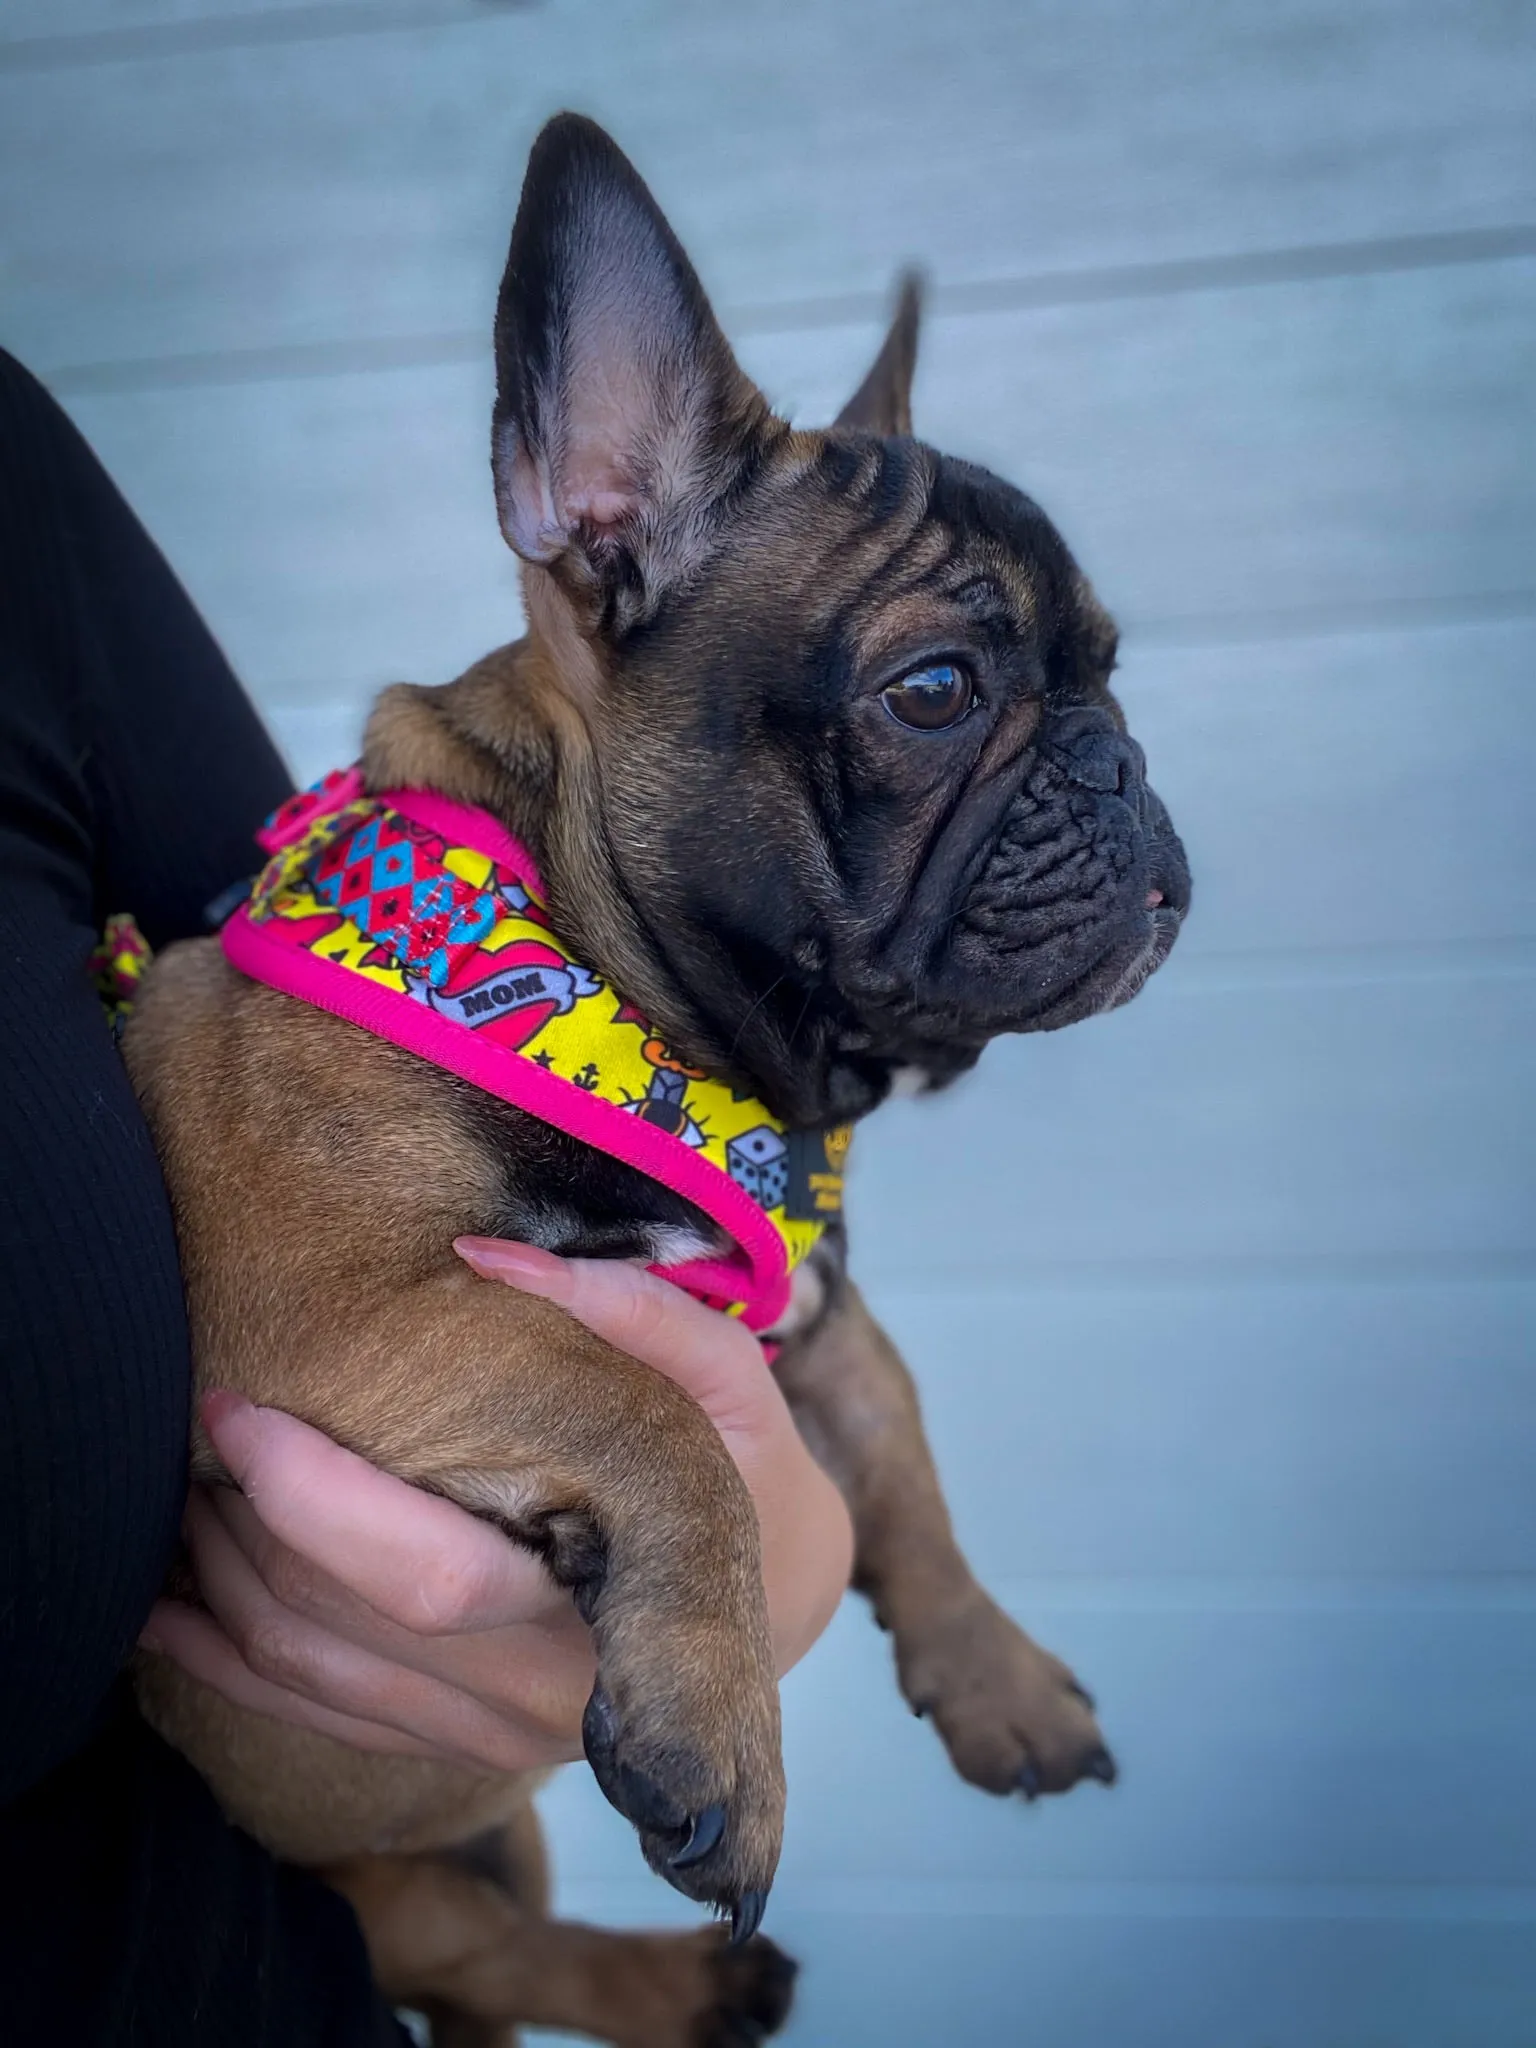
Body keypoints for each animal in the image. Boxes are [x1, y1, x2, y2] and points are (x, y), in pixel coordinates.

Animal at [126, 116, 1196, 2048]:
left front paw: (996, 1678)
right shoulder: (328, 1309)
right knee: (474, 1945)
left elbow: (899, 1445)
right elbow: (656, 1418)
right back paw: (685, 1982)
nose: (1120, 762)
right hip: (392, 1876)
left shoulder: (815, 1304)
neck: (637, 1009)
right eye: (940, 689)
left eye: (1107, 672)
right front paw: (723, 1732)